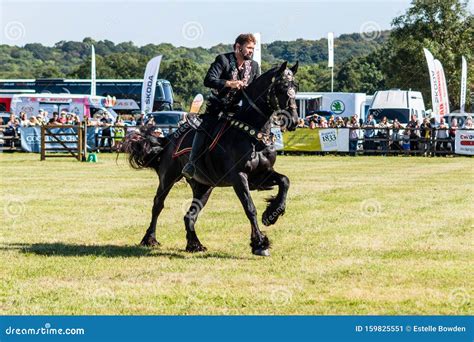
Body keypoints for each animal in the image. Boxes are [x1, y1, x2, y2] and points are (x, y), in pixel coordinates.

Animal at [123, 60, 300, 256]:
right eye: (282, 87)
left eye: (295, 86)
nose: (293, 121)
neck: (253, 135)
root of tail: (168, 139)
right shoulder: (239, 177)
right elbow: (250, 208)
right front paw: (260, 244)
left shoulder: (262, 175)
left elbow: (285, 181)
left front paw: (271, 214)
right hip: (168, 178)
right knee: (158, 205)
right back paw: (150, 239)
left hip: (203, 187)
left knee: (190, 215)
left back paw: (194, 244)